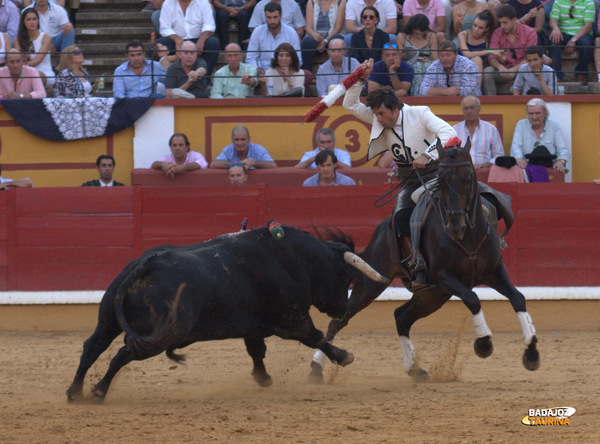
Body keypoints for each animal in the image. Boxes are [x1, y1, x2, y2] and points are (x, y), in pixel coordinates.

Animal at [64, 224, 384, 400]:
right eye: (345, 276)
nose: (342, 309)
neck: (293, 259)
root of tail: (146, 264)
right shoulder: (292, 320)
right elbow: (315, 337)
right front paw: (344, 356)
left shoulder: (253, 326)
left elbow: (256, 351)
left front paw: (263, 378)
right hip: (159, 336)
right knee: (122, 354)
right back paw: (98, 392)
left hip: (108, 319)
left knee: (92, 346)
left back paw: (74, 392)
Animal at [310, 140, 540, 382]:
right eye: (441, 183)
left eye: (467, 179)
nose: (455, 227)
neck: (467, 235)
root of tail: (380, 230)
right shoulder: (443, 276)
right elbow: (473, 299)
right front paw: (484, 344)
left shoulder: (494, 271)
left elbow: (518, 298)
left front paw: (532, 353)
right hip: (374, 282)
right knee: (340, 319)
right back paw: (316, 368)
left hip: (433, 295)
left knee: (401, 317)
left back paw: (414, 369)